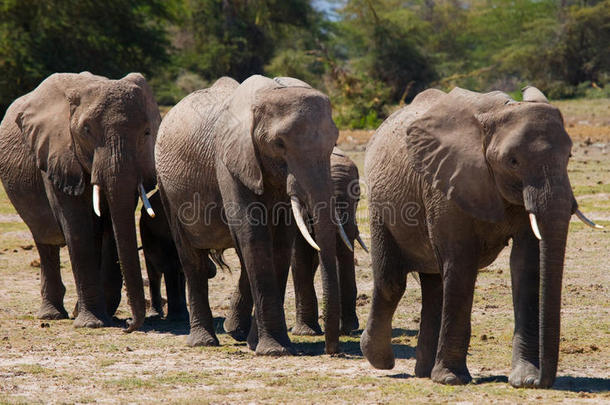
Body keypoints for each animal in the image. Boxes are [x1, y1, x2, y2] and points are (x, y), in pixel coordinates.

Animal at [0, 72, 159, 332]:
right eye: (86, 130)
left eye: (147, 132)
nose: (128, 325)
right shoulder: (56, 152)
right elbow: (77, 226)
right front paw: (92, 324)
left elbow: (111, 225)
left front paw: (103, 318)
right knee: (45, 240)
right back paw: (52, 315)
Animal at [154, 76, 344, 354]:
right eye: (279, 144)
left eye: (333, 143)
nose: (333, 351)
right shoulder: (229, 161)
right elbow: (253, 236)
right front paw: (275, 351)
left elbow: (280, 244)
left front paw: (261, 345)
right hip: (166, 187)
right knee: (192, 258)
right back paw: (204, 341)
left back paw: (238, 333)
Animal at [358, 86, 600, 388]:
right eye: (513, 161)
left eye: (569, 156)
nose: (540, 382)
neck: (497, 114)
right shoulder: (446, 183)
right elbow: (460, 261)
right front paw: (452, 379)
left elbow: (526, 264)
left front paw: (523, 379)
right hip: (380, 204)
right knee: (392, 281)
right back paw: (380, 359)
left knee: (434, 284)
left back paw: (424, 372)